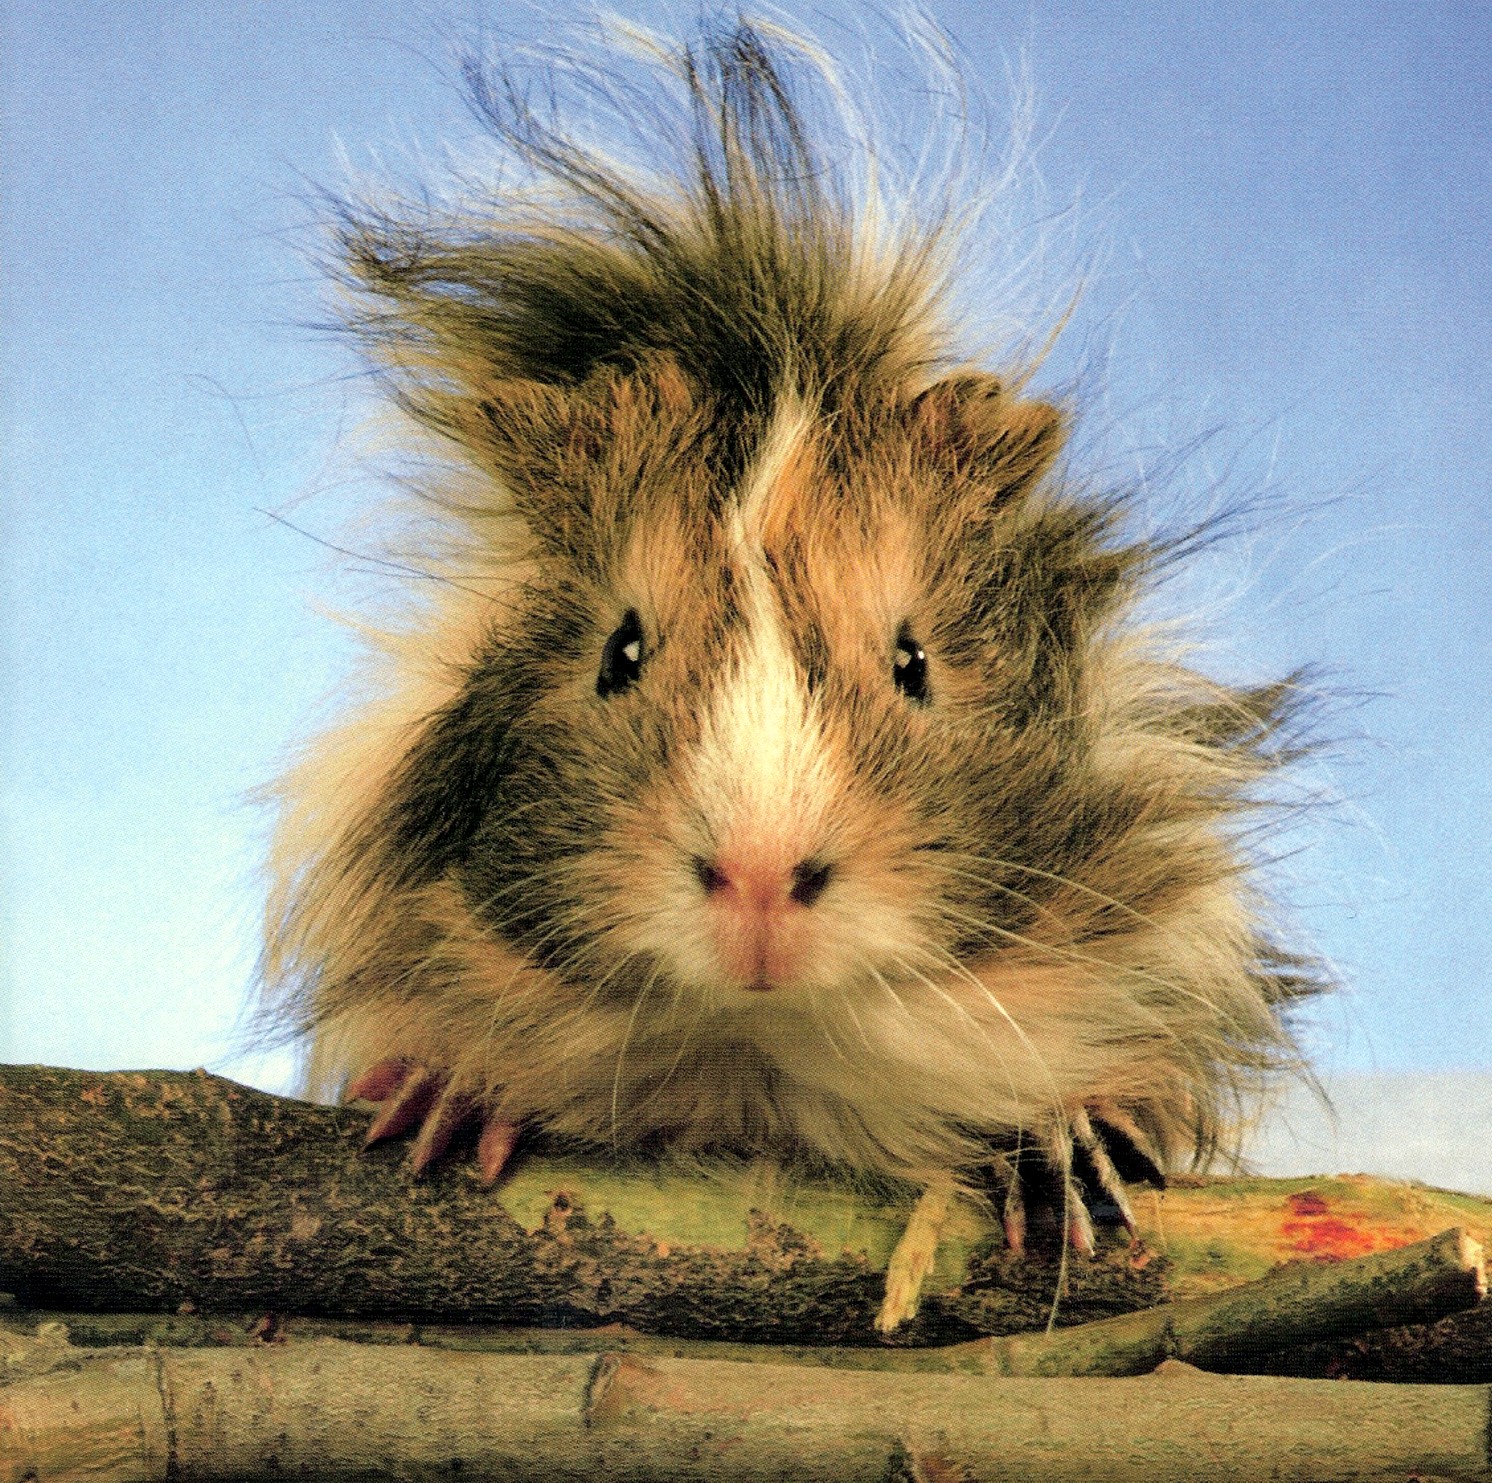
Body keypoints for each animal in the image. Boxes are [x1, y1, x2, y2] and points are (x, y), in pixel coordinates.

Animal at [263, 20, 1320, 1283]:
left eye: (914, 663)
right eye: (619, 652)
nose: (761, 881)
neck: (758, 1051)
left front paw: (1070, 1160)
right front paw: (440, 1108)